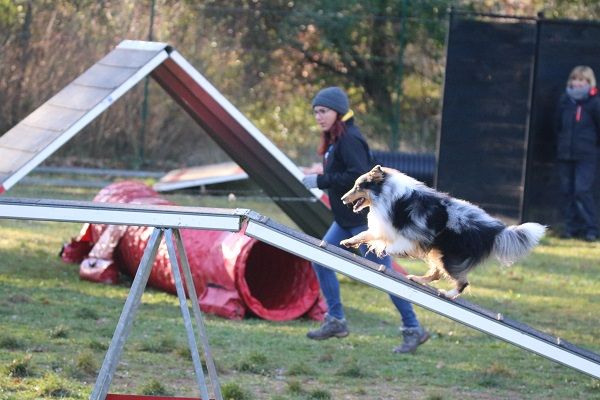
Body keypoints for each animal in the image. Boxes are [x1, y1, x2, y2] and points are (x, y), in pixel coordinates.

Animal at [340, 164, 548, 298]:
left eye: (358, 186)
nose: (342, 199)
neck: (385, 193)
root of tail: (494, 230)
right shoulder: (383, 227)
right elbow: (365, 235)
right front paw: (347, 242)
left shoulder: (412, 235)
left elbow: (392, 246)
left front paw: (392, 252)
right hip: (439, 253)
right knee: (437, 274)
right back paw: (417, 278)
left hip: (450, 257)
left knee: (462, 282)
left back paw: (448, 294)